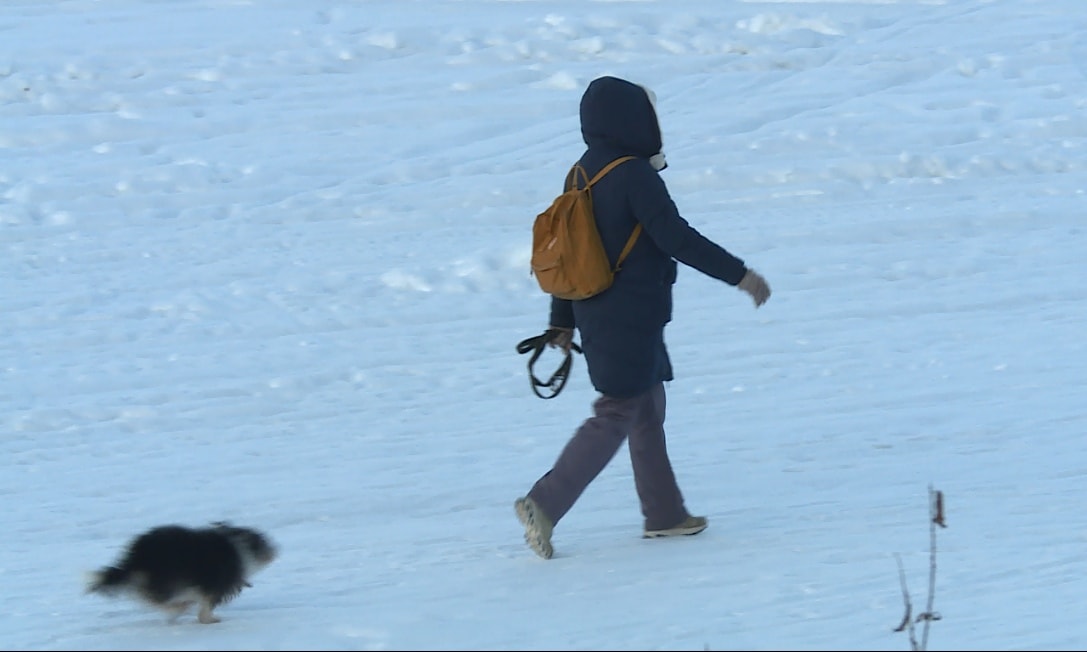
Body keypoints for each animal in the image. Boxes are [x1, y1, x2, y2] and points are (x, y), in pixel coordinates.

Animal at [87, 521, 278, 625]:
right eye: (263, 540)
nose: (277, 549)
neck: (240, 547)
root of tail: (136, 555)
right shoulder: (214, 585)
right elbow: (205, 604)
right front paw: (209, 619)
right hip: (165, 577)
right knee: (154, 598)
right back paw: (178, 607)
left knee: (148, 596)